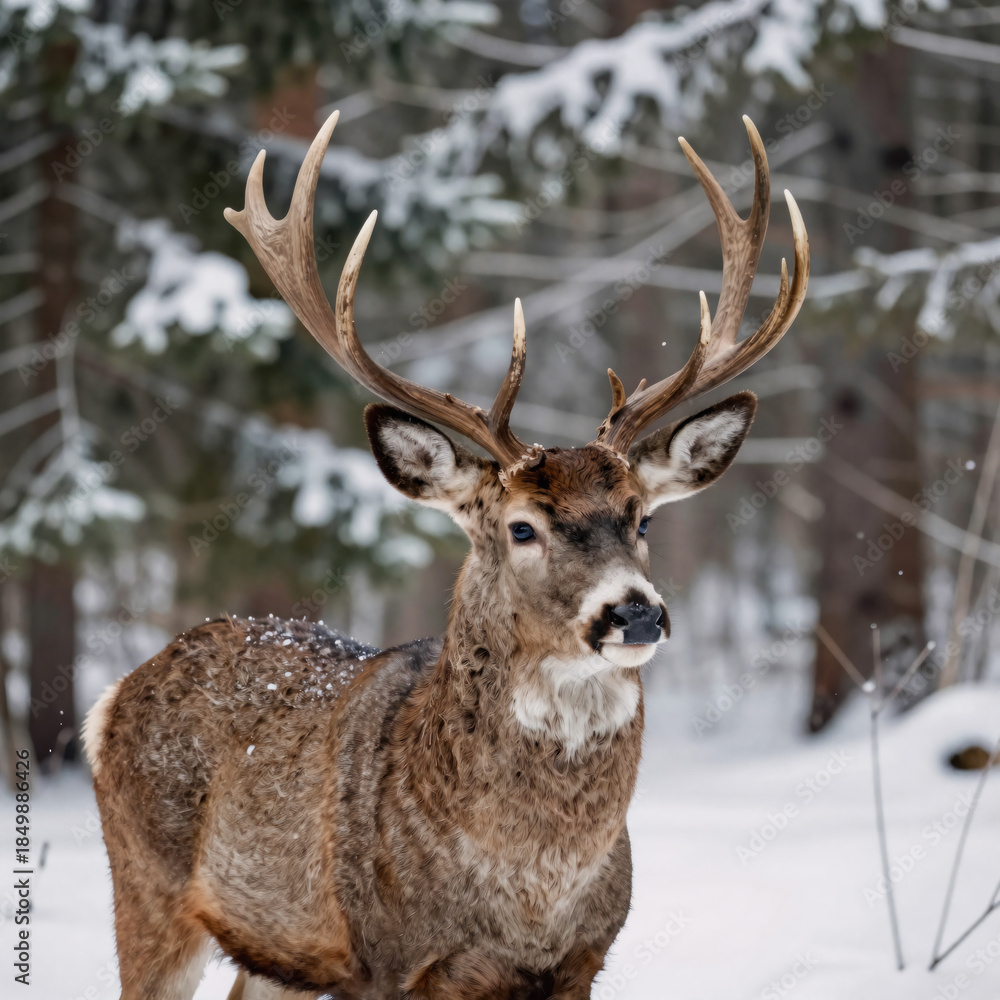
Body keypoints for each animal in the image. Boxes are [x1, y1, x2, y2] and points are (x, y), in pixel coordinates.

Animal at [83, 110, 808, 1000]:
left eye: (642, 517)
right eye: (522, 527)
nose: (634, 612)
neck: (531, 891)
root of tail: (115, 693)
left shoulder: (586, 956)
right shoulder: (391, 960)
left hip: (274, 949)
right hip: (146, 885)